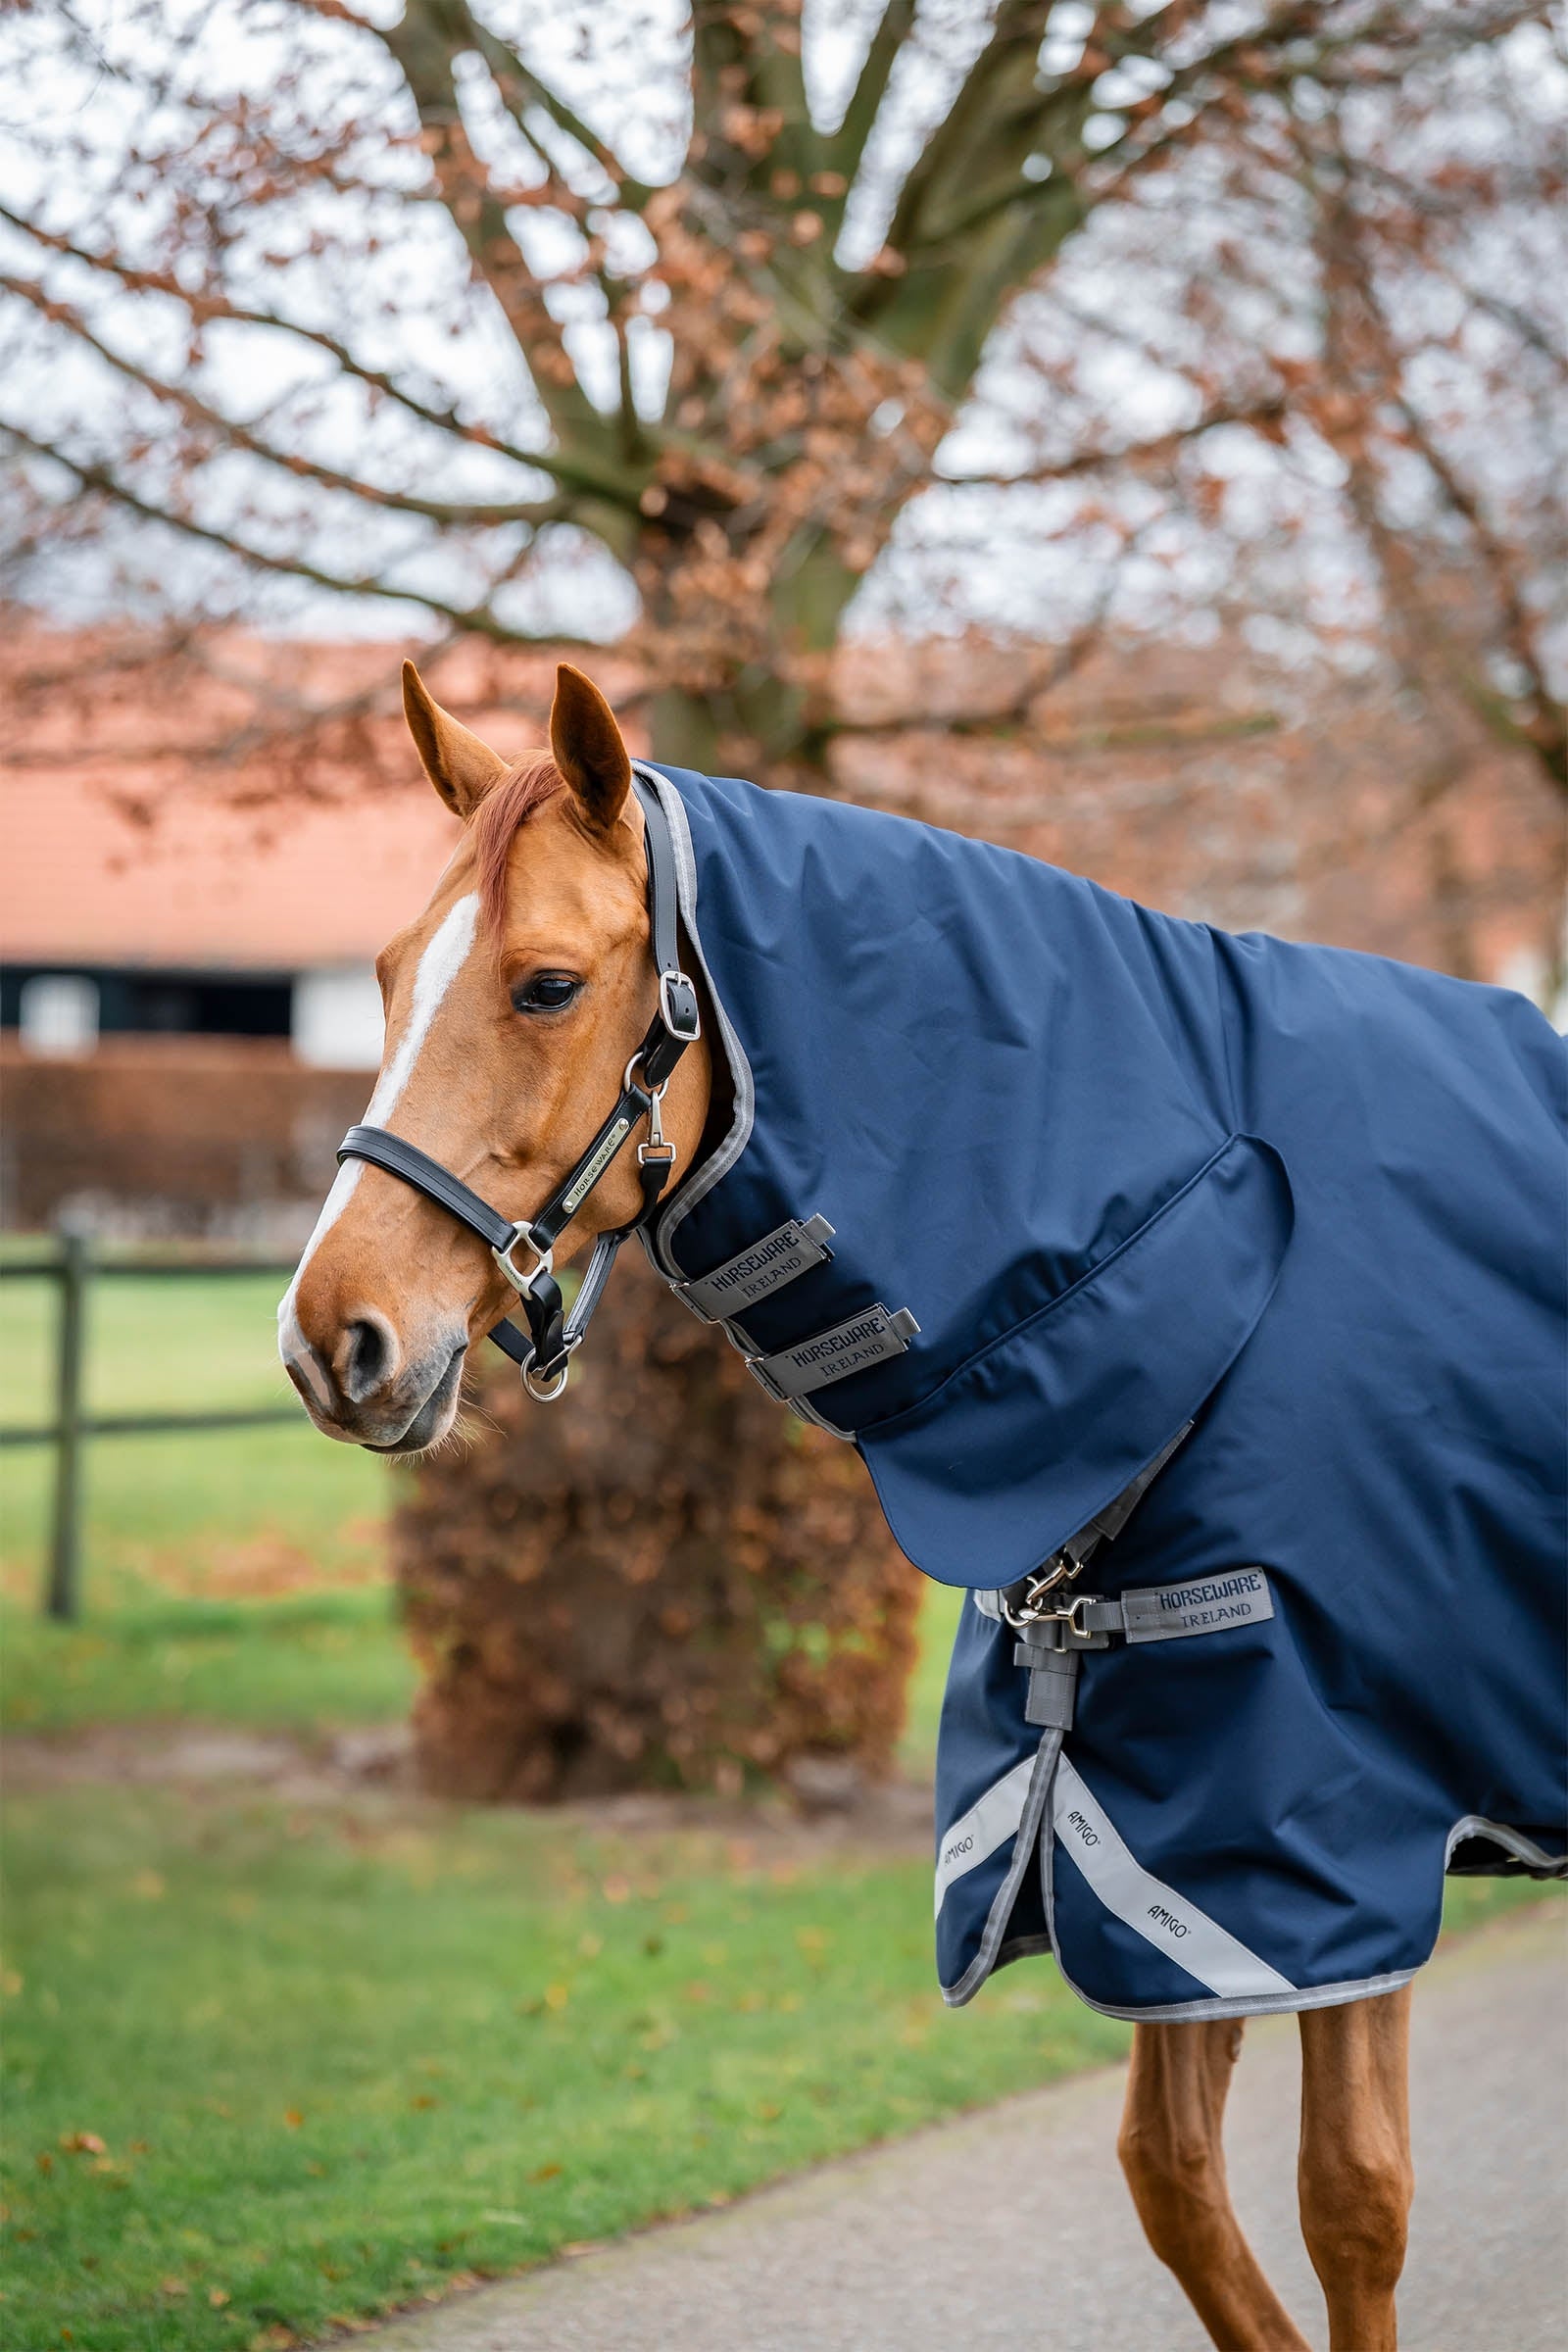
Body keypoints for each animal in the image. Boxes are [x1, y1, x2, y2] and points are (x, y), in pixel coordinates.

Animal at [282, 658, 1562, 2351]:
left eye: (546, 985)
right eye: (379, 974)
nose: (331, 1338)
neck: (1217, 1272)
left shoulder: (1325, 1846)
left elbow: (1351, 2200)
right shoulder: (1141, 1839)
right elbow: (1174, 2180)